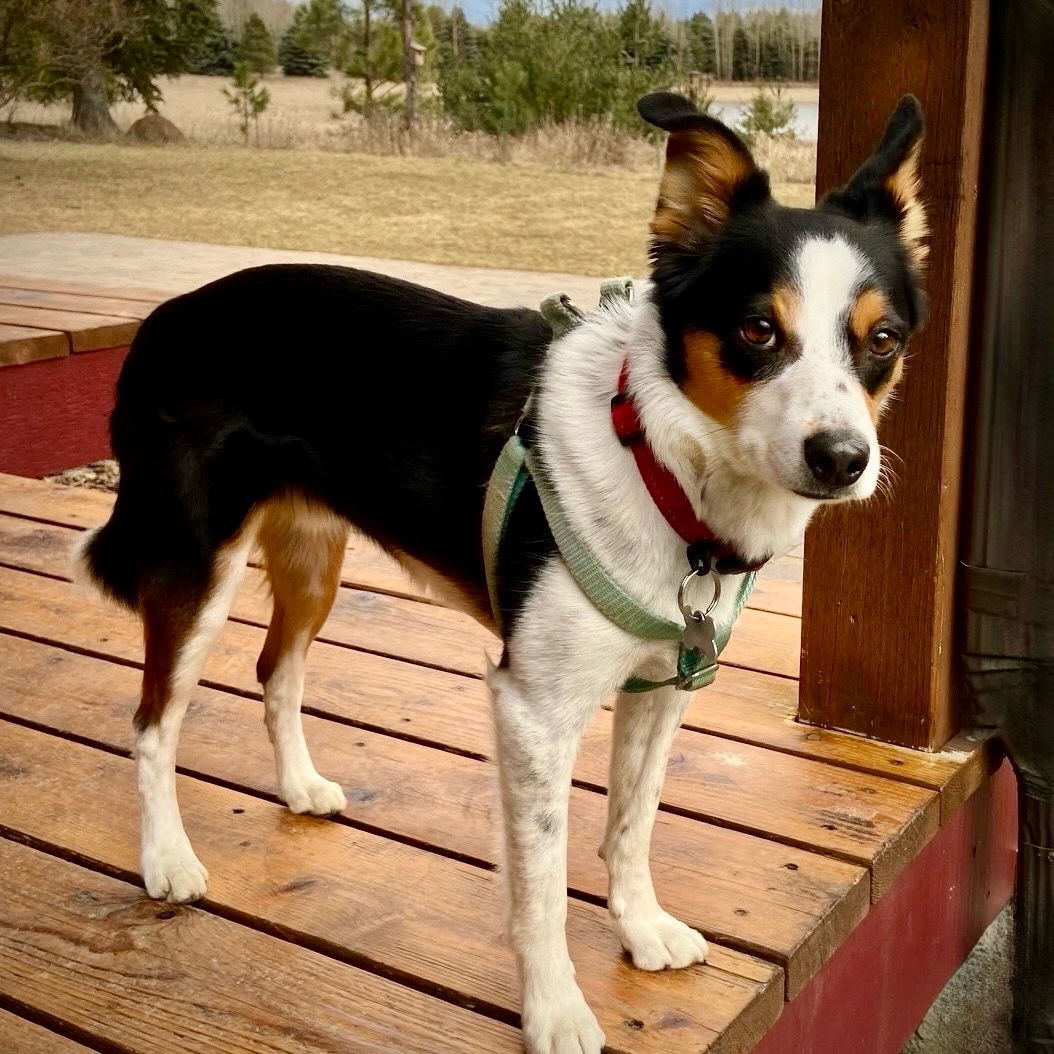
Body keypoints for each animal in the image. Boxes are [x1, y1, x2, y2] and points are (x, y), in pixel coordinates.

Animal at [77, 92, 927, 1054]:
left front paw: (639, 929)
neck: (660, 464)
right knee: (153, 722)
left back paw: (298, 788)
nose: (843, 459)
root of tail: (164, 316)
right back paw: (167, 860)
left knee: (275, 671)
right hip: (196, 570)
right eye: (757, 330)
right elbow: (543, 886)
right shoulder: (533, 709)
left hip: (312, 560)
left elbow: (631, 826)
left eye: (882, 339)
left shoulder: (659, 689)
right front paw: (555, 1008)